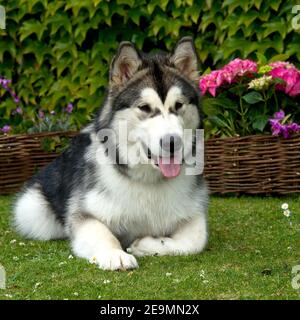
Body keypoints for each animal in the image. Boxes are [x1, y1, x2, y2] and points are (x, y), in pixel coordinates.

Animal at [12, 36, 209, 268]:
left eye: (179, 105)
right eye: (144, 107)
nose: (172, 142)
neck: (148, 180)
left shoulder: (194, 214)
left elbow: (196, 240)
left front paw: (147, 244)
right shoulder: (83, 214)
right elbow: (102, 232)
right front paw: (115, 254)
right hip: (32, 211)